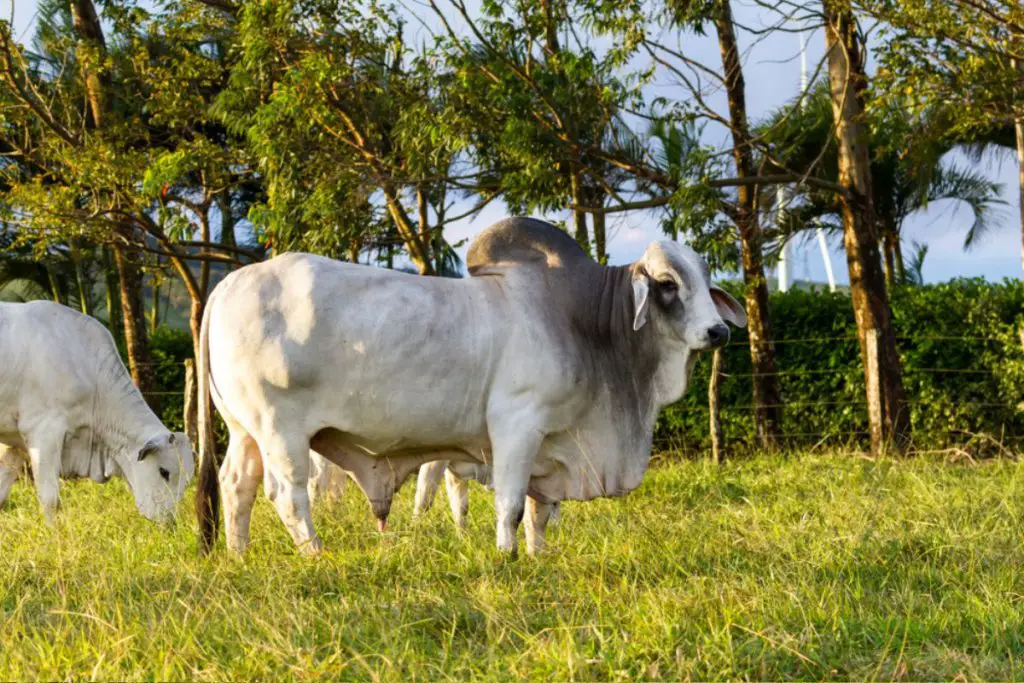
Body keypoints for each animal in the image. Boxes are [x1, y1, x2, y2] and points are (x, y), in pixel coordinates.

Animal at [0, 301, 193, 520]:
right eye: (164, 472)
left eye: (186, 481)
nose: (169, 521)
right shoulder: (43, 432)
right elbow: (50, 501)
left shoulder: (14, 443)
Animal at [195, 219, 749, 557]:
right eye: (667, 284)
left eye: (704, 283)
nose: (718, 332)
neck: (585, 323)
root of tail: (226, 286)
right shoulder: (516, 427)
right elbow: (511, 503)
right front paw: (506, 557)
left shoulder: (552, 445)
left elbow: (541, 512)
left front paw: (539, 556)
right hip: (280, 429)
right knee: (288, 495)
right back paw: (316, 554)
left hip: (244, 429)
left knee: (236, 486)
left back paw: (240, 556)